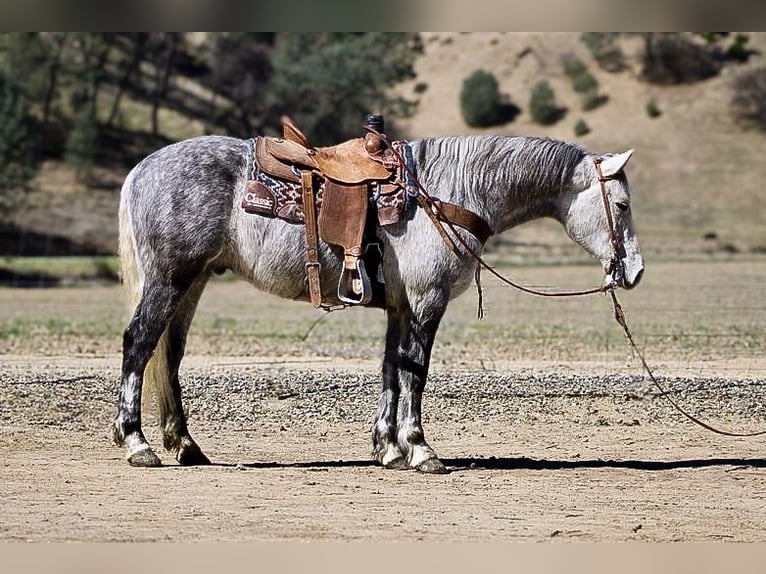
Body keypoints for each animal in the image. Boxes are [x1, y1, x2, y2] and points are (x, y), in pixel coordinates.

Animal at [113, 132, 644, 473]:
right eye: (621, 205)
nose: (634, 272)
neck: (449, 192)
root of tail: (141, 168)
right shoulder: (427, 301)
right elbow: (416, 370)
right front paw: (421, 450)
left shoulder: (400, 306)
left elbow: (392, 368)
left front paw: (388, 449)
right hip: (169, 280)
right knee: (138, 343)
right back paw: (137, 442)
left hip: (192, 282)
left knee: (169, 354)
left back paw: (185, 445)